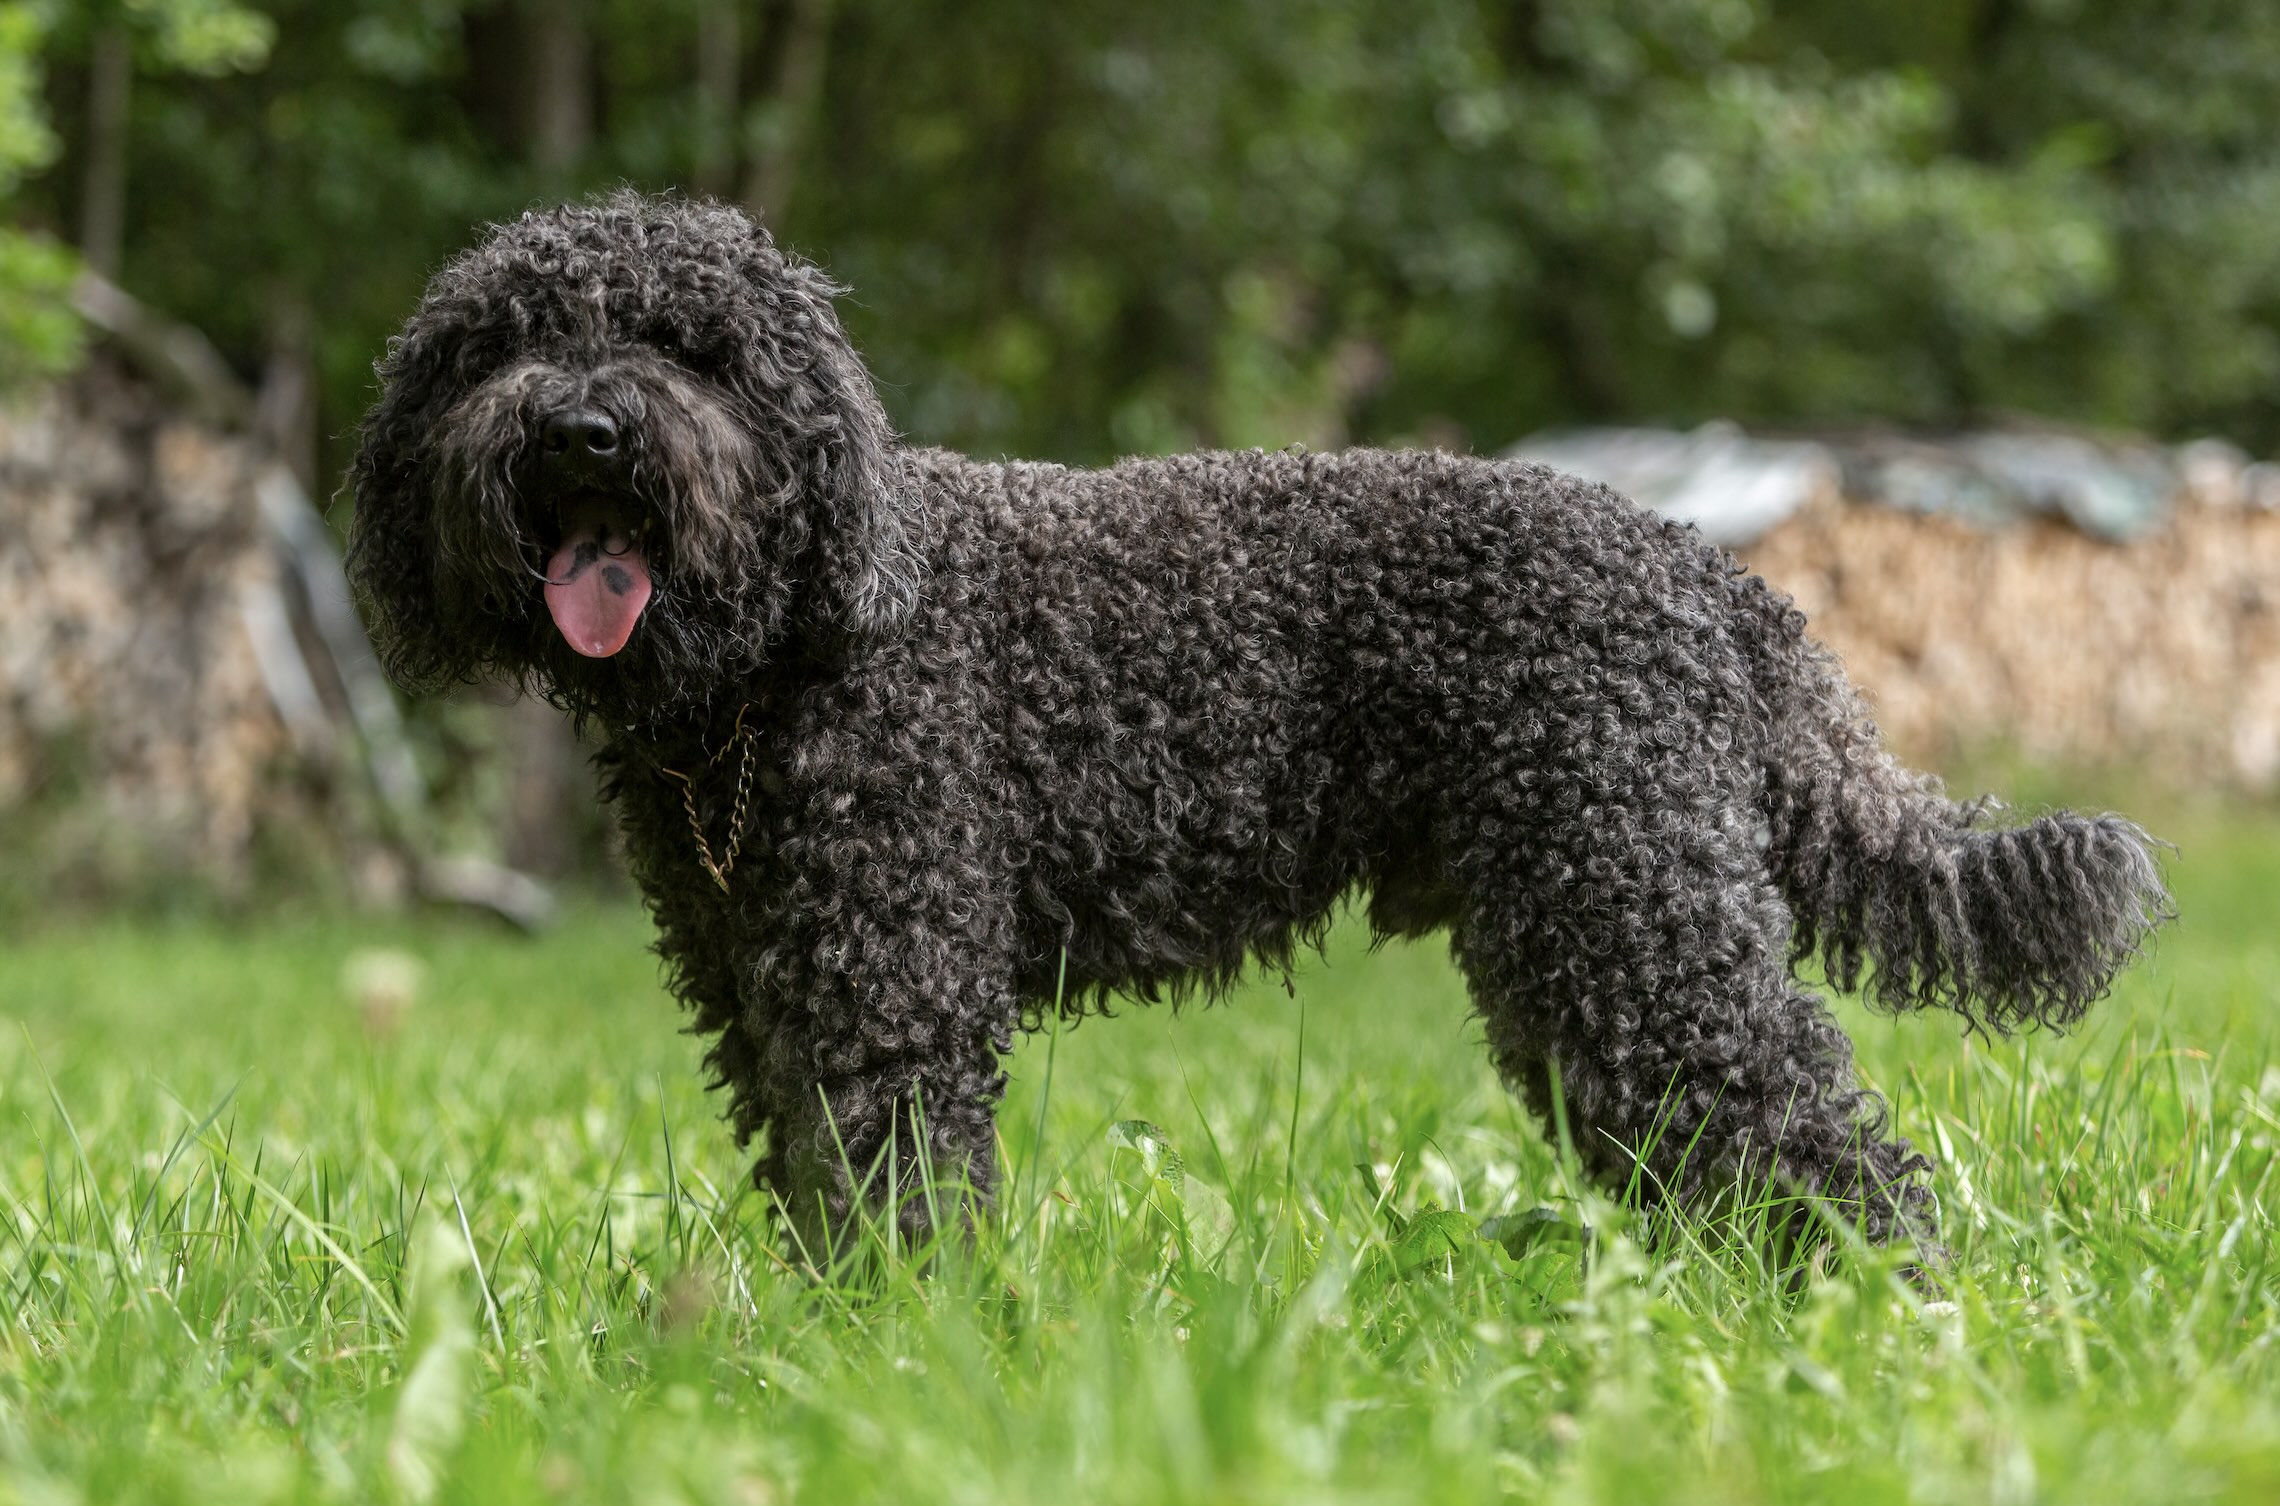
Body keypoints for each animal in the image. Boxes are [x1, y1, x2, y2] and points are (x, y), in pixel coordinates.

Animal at [346, 193, 2161, 1248]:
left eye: (689, 345)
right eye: (505, 342)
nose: (584, 431)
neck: (798, 650)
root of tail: (1708, 573)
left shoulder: (888, 996)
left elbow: (899, 1191)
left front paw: (907, 1356)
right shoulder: (769, 997)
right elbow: (814, 1184)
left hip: (1634, 914)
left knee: (1803, 1125)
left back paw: (1877, 1308)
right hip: (1586, 938)